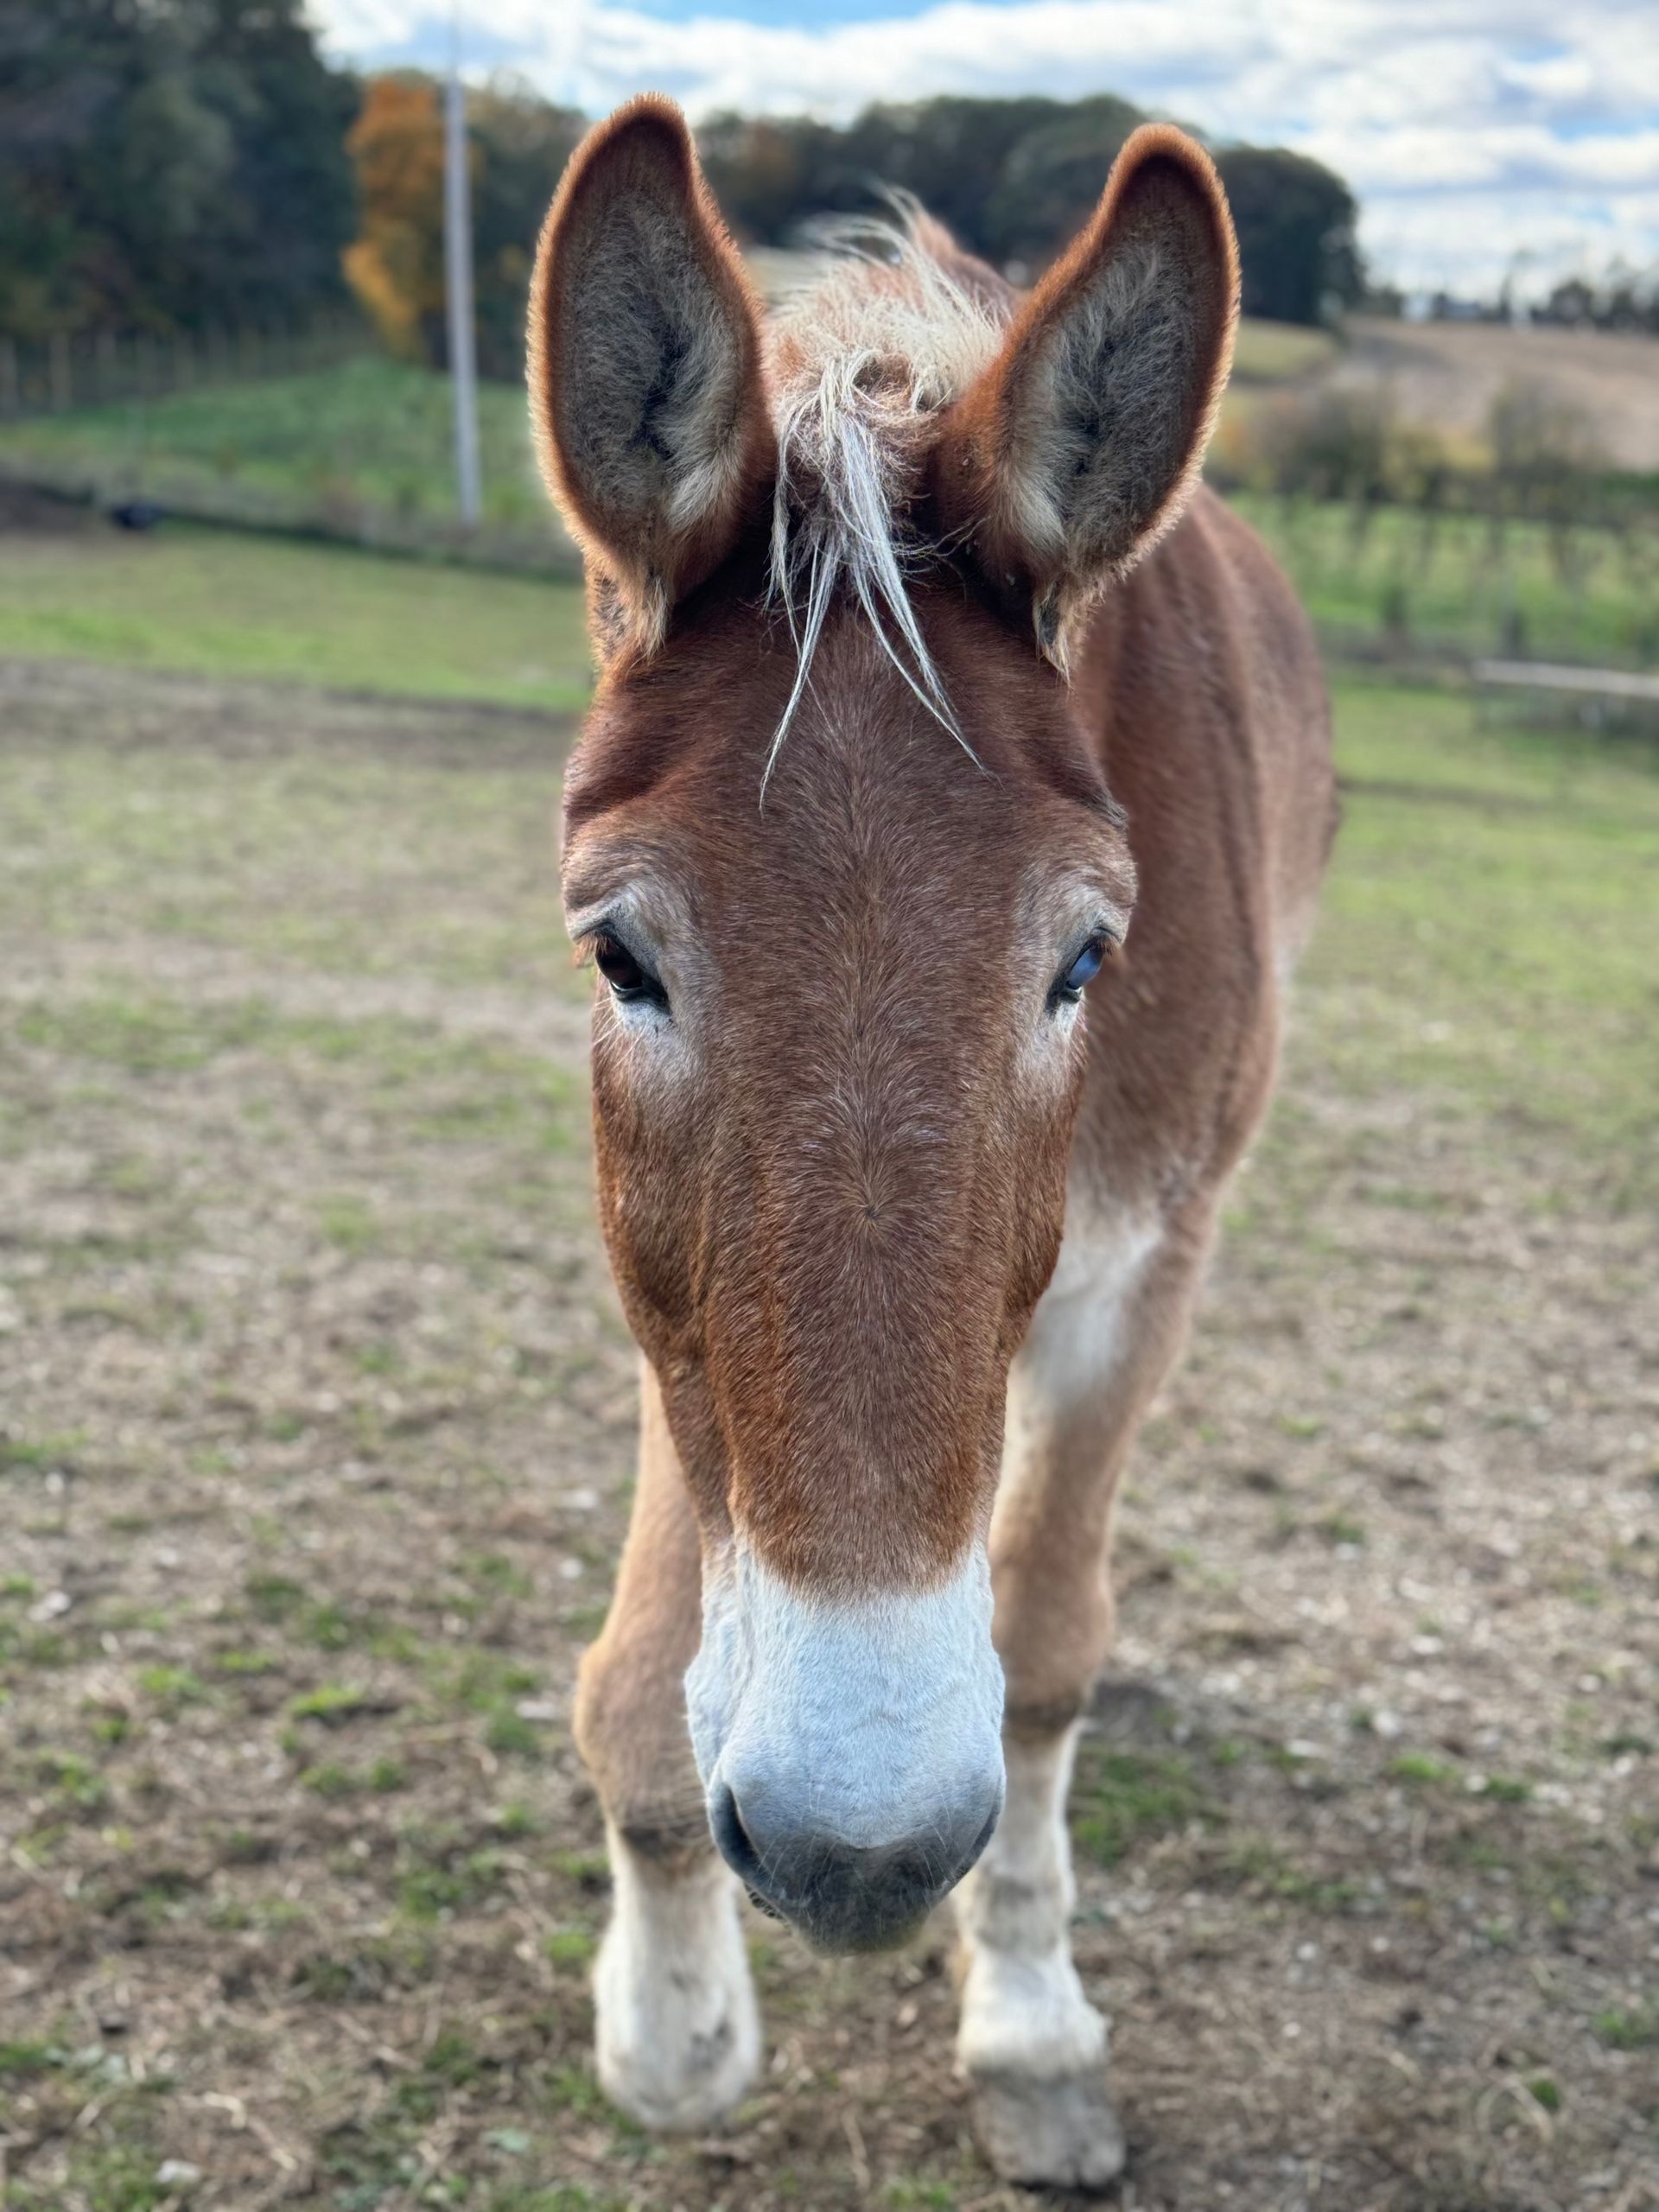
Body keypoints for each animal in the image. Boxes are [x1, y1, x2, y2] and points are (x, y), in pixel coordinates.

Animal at [528, 96, 1335, 2189]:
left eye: (1088, 958)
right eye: (619, 952)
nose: (860, 1846)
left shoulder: (1145, 1263)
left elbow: (1041, 1639)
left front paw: (1030, 2014)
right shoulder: (672, 1301)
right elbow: (654, 1661)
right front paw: (673, 2012)